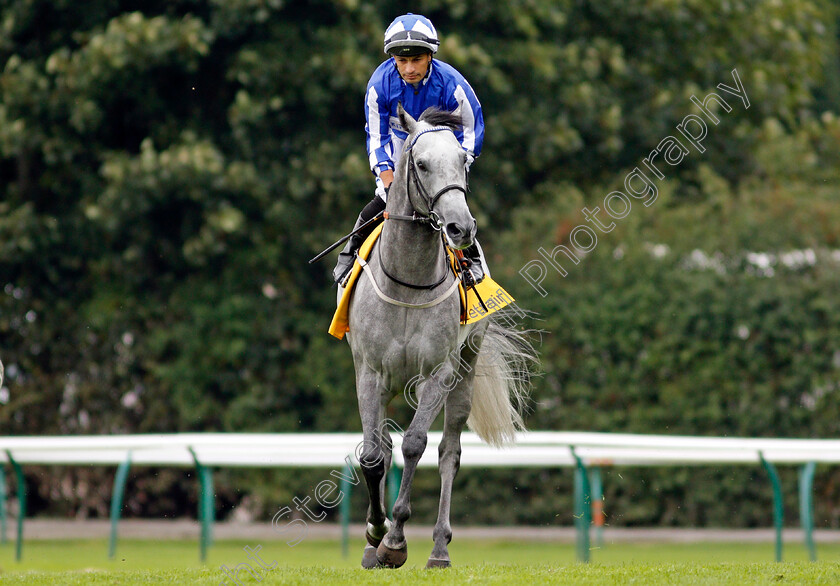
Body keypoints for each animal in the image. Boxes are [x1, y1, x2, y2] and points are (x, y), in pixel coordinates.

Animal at [338, 104, 536, 564]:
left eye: (463, 160)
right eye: (422, 164)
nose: (461, 228)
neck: (407, 282)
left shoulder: (438, 373)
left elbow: (415, 444)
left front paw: (395, 540)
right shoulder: (369, 372)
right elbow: (373, 455)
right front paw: (375, 532)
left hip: (466, 367)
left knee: (450, 451)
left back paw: (439, 547)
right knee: (383, 446)